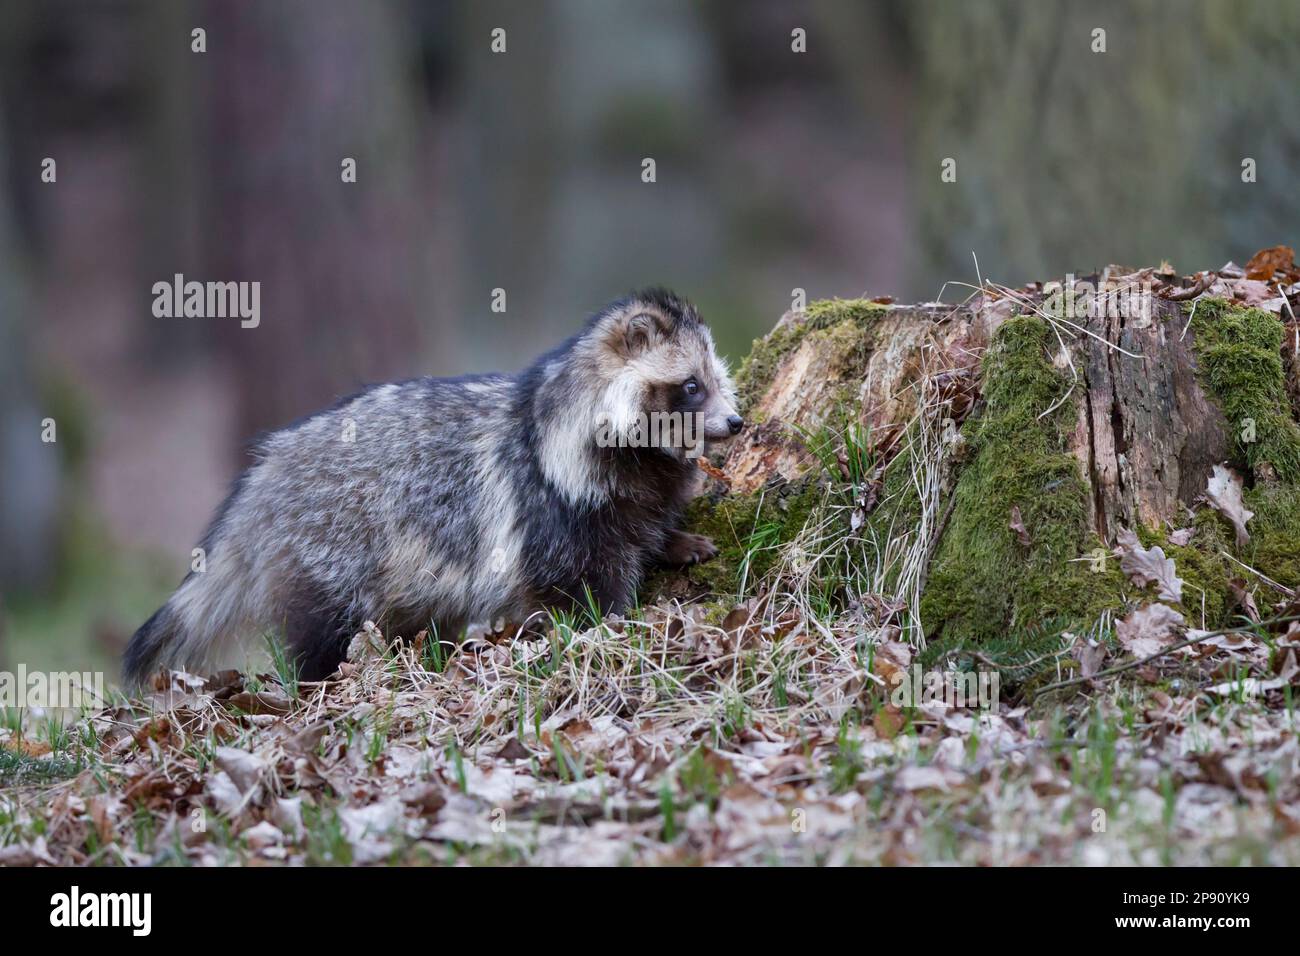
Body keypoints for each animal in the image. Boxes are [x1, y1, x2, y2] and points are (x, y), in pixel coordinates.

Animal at [124, 289, 743, 686]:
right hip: (331, 545)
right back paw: (316, 679)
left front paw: (673, 542)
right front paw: (612, 620)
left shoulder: (634, 485)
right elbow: (580, 579)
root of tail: (265, 475)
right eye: (691, 385)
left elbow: (646, 518)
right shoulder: (549, 499)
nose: (736, 423)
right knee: (321, 629)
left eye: (718, 381)